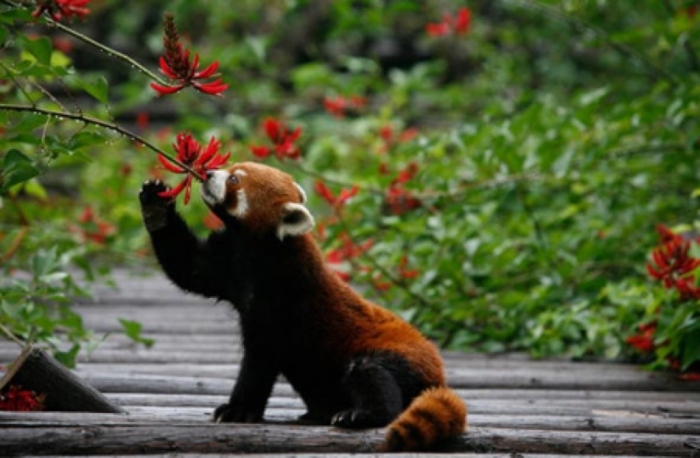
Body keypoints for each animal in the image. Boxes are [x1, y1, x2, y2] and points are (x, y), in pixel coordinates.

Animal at [139, 161, 466, 451]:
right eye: (229, 167)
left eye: (234, 179)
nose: (207, 173)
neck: (254, 253)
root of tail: (439, 375)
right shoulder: (227, 263)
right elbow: (188, 267)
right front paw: (155, 205)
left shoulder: (284, 299)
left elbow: (260, 362)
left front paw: (237, 409)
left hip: (401, 356)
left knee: (371, 372)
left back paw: (361, 415)